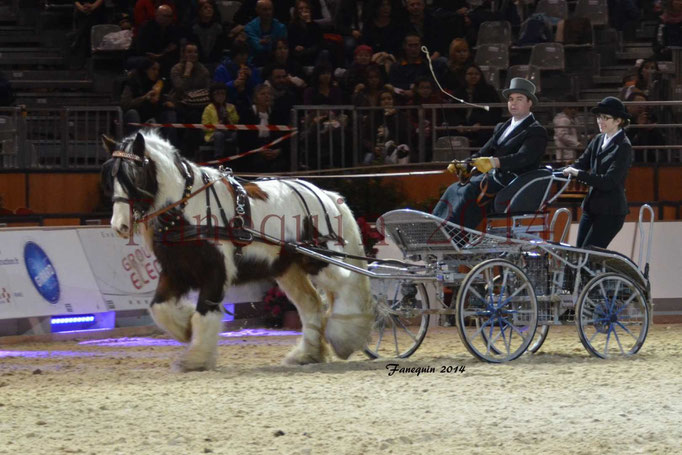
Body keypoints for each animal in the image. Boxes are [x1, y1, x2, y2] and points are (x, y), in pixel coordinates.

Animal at [102, 131, 372, 370]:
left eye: (134, 174)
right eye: (112, 177)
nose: (119, 225)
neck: (188, 210)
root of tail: (326, 194)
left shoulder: (216, 270)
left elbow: (204, 312)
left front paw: (196, 358)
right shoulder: (175, 271)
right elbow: (159, 308)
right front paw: (185, 327)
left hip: (323, 261)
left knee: (348, 284)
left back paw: (346, 336)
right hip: (289, 268)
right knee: (311, 305)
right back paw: (307, 355)